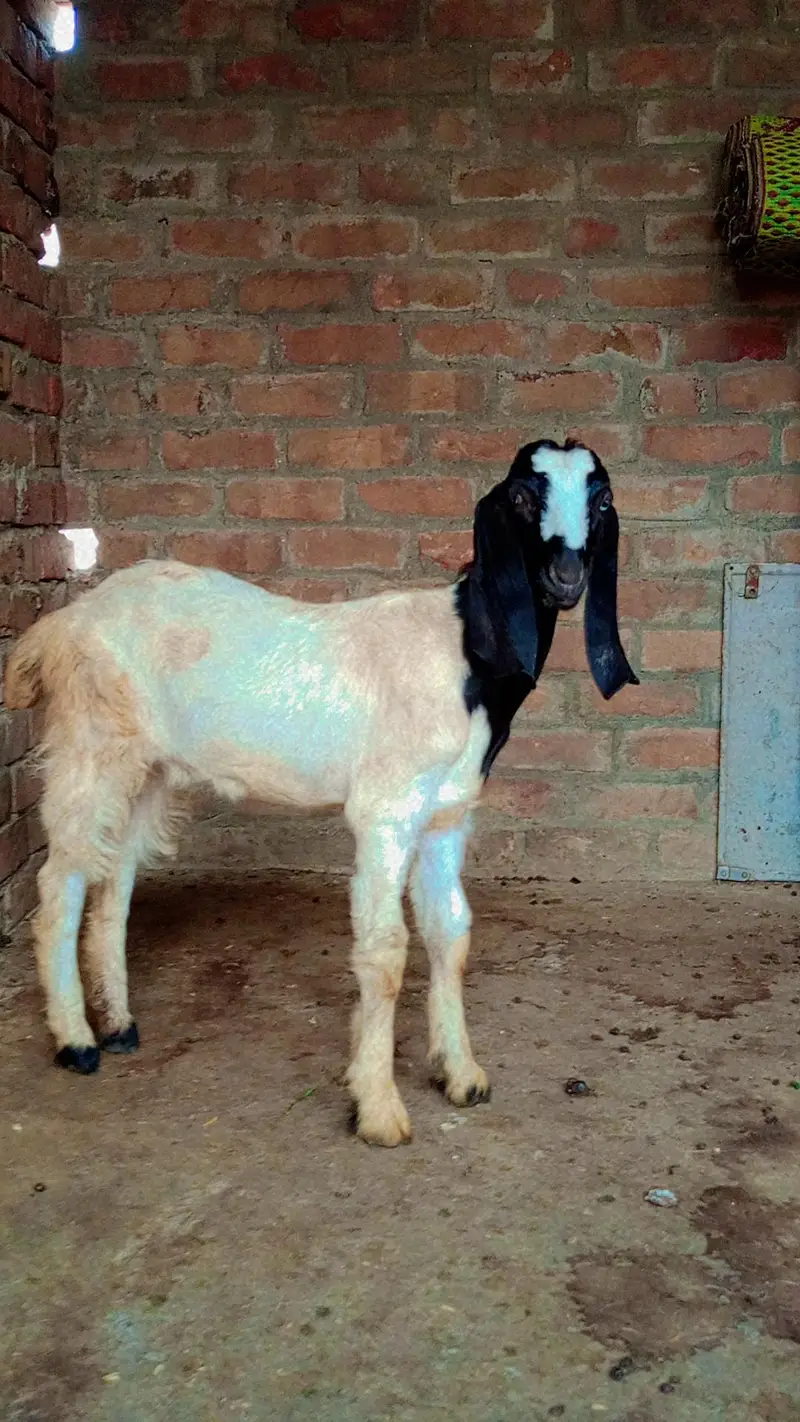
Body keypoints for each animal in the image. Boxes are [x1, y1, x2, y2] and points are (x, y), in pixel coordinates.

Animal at [4, 439, 637, 1146]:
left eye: (602, 499)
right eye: (523, 496)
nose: (566, 576)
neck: (463, 653)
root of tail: (63, 623)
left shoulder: (445, 818)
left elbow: (451, 934)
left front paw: (462, 1074)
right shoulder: (386, 811)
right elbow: (386, 952)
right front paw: (378, 1107)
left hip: (150, 767)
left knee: (114, 882)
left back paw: (118, 1025)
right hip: (92, 746)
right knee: (60, 884)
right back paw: (76, 1041)